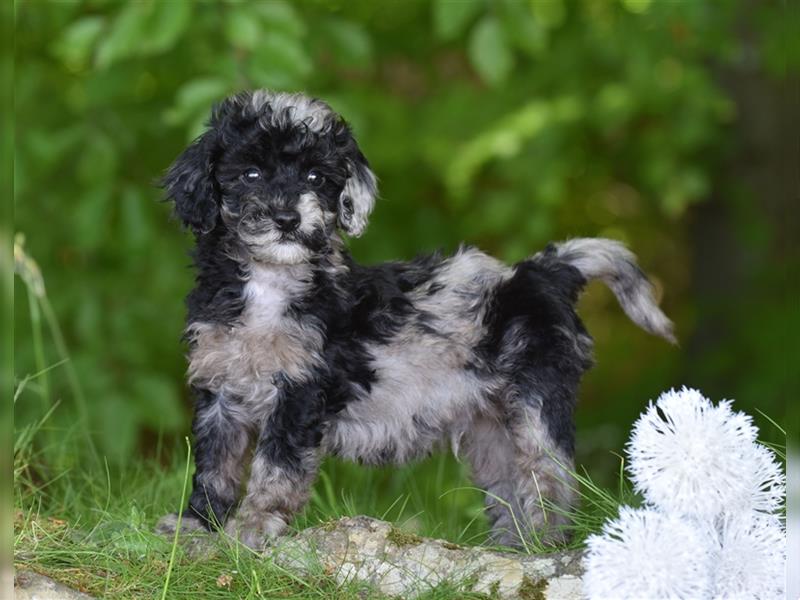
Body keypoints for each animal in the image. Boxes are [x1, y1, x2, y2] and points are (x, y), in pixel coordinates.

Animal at [156, 89, 676, 548]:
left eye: (316, 178)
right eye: (250, 173)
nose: (287, 219)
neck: (270, 284)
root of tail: (539, 274)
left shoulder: (299, 391)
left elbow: (275, 466)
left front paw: (254, 526)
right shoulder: (220, 388)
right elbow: (215, 466)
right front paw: (197, 526)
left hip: (537, 402)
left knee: (550, 479)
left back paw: (545, 542)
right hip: (490, 426)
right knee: (510, 486)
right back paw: (516, 547)